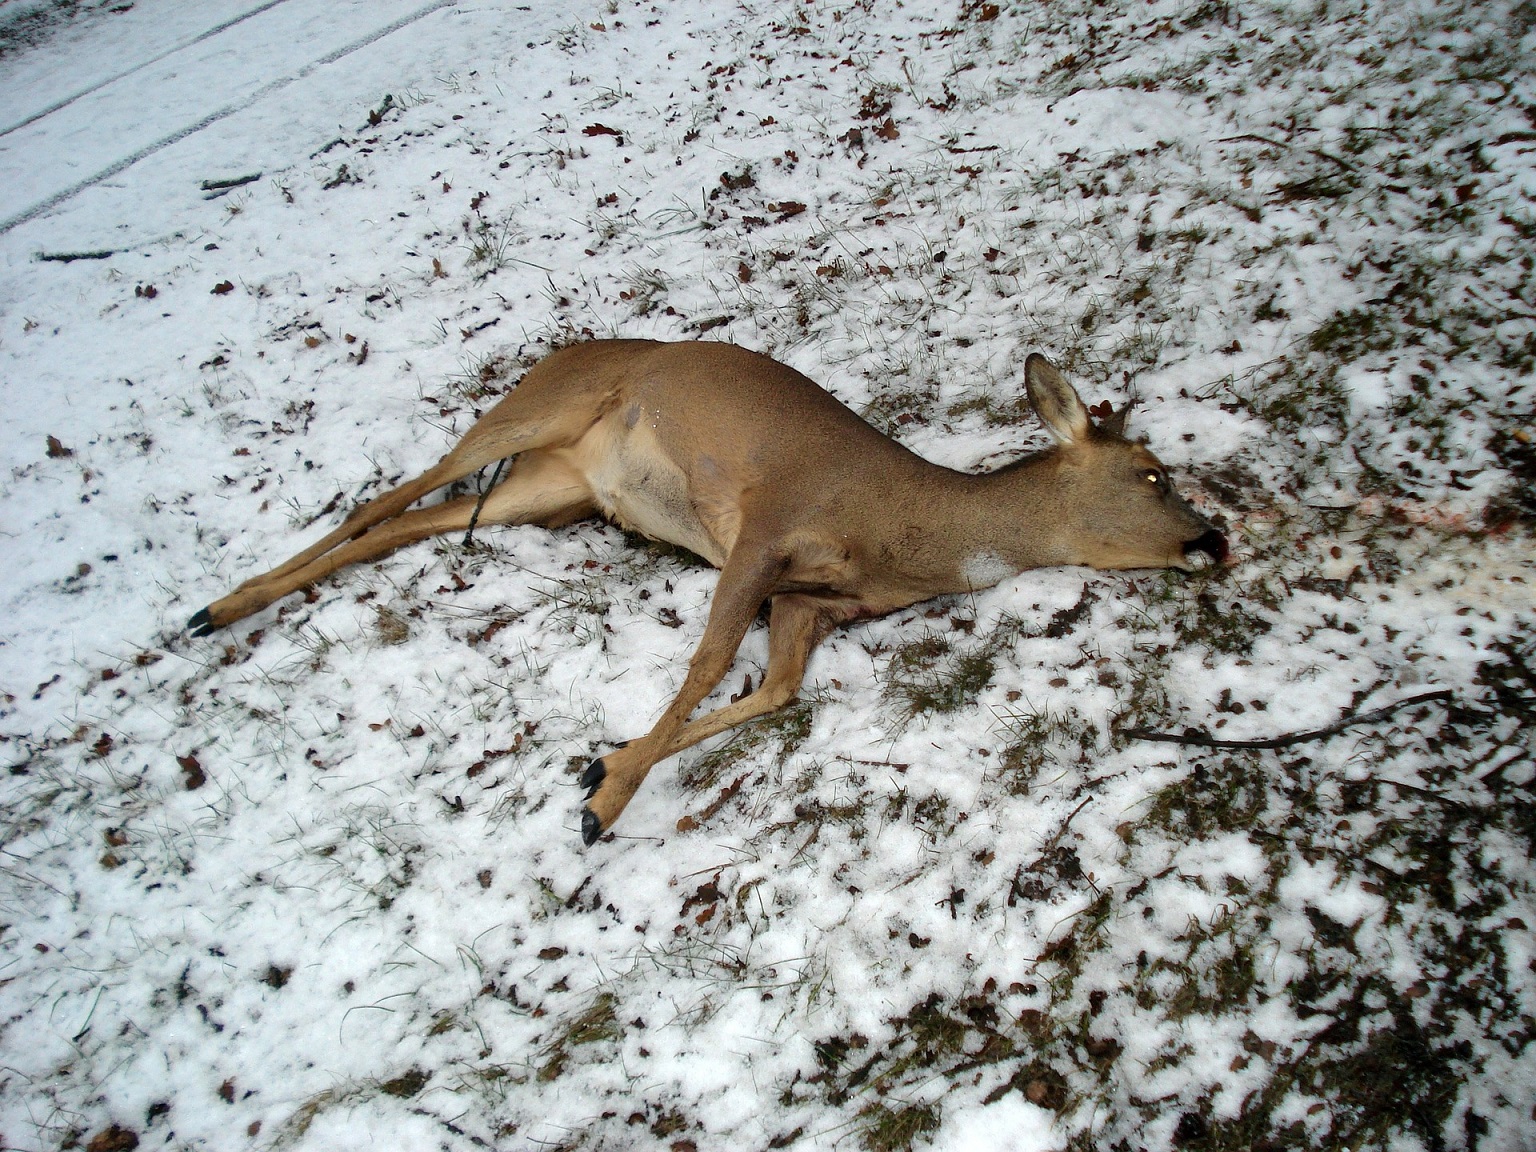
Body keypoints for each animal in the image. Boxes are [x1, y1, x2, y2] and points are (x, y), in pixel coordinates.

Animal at [188, 337, 1222, 841]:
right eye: (1153, 474)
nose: (1214, 539)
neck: (904, 531)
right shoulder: (765, 528)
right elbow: (711, 657)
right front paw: (604, 803)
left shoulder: (811, 603)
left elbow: (775, 690)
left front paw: (601, 766)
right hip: (539, 409)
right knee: (390, 494)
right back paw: (214, 606)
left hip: (555, 490)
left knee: (407, 524)